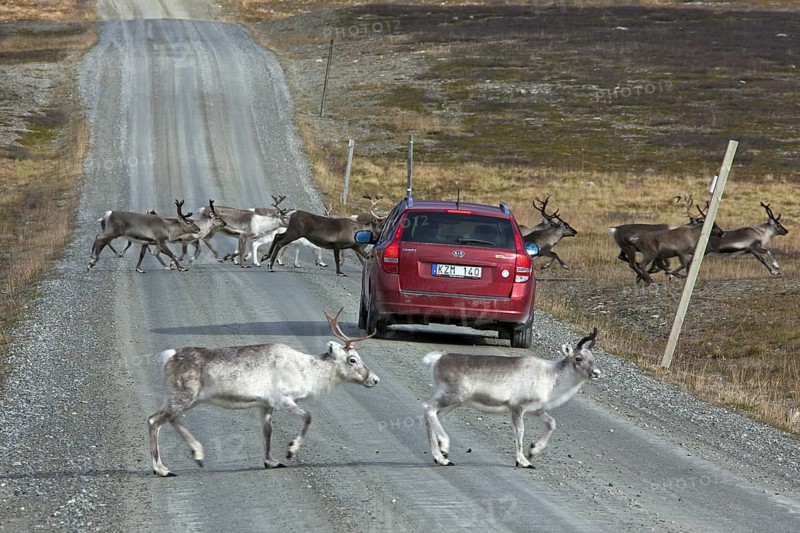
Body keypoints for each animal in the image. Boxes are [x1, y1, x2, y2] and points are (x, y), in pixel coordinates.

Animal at [148, 308, 379, 477]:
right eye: (353, 359)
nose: (374, 379)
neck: (306, 372)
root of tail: (167, 356)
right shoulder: (282, 399)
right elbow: (308, 417)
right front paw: (291, 450)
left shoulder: (266, 404)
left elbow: (267, 431)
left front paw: (271, 461)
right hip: (184, 396)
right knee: (155, 420)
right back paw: (163, 469)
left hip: (180, 397)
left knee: (167, 419)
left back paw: (196, 454)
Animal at [422, 328, 600, 468]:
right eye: (578, 358)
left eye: (593, 359)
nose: (596, 373)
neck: (551, 378)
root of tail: (437, 359)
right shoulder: (517, 407)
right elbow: (520, 432)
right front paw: (523, 461)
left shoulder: (535, 410)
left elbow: (551, 423)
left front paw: (533, 450)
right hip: (453, 395)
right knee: (428, 408)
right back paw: (444, 447)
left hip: (454, 401)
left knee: (433, 415)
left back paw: (441, 457)